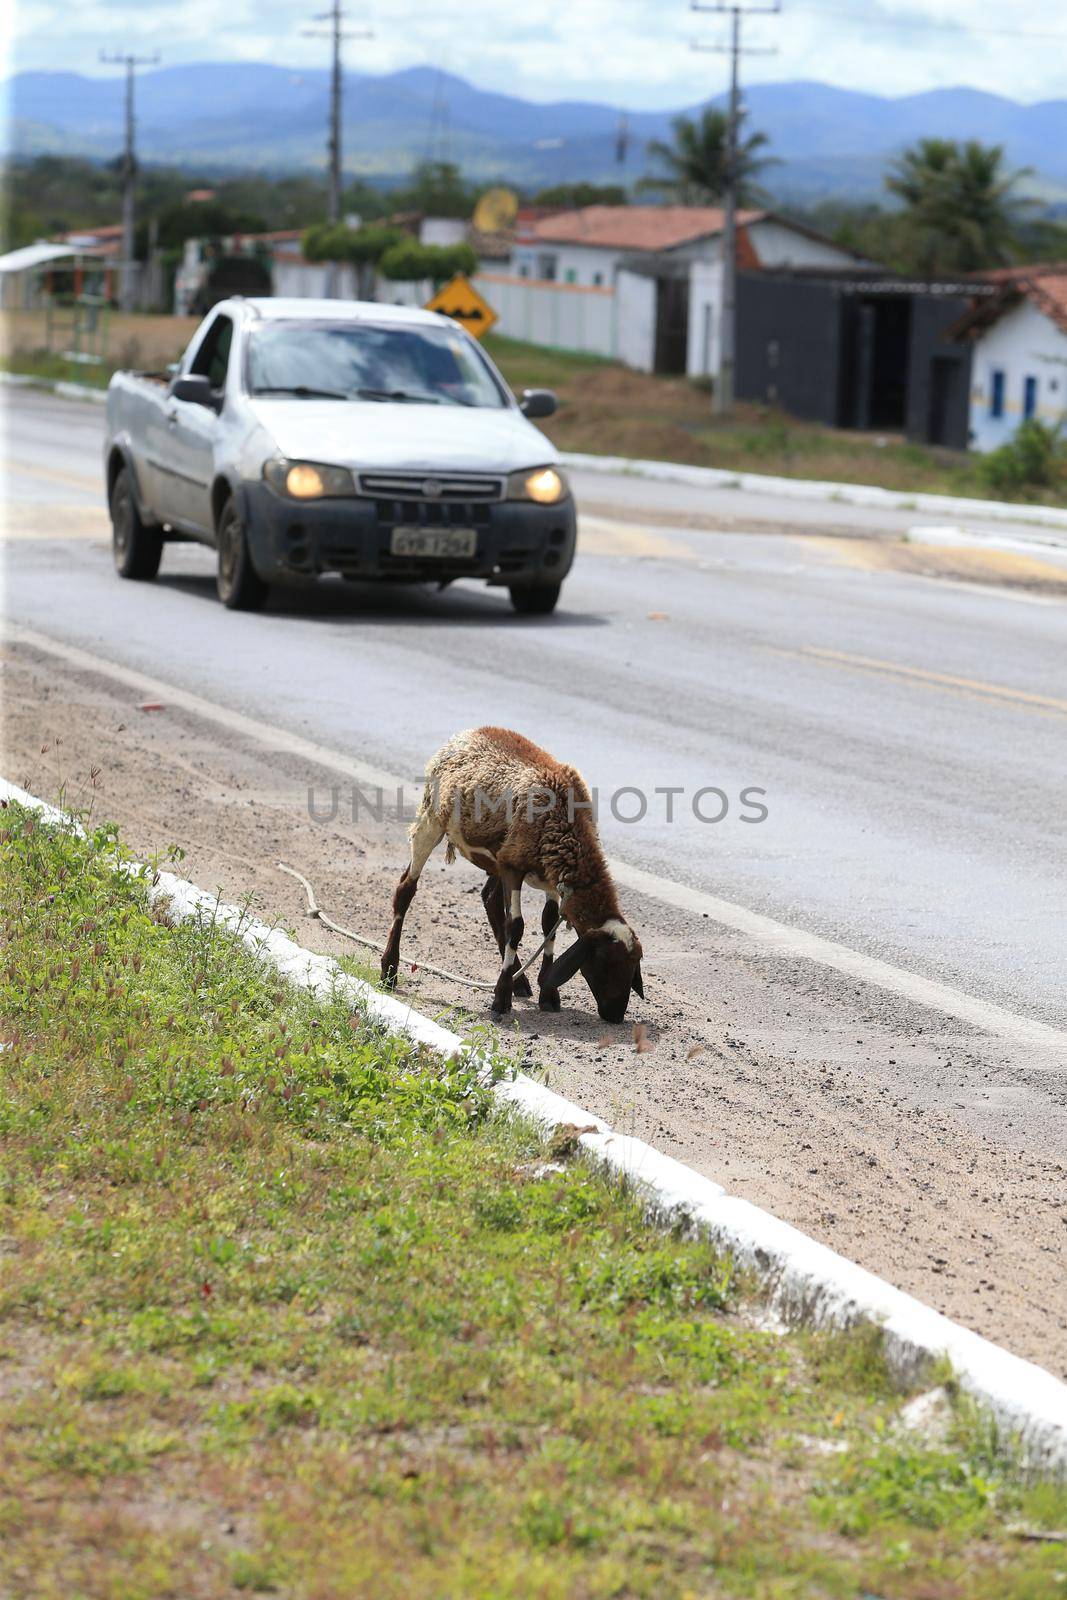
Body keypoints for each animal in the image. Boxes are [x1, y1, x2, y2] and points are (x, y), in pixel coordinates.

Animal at [388, 729, 646, 1017]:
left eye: (633, 965)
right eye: (605, 962)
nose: (615, 1016)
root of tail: (469, 732)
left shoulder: (549, 875)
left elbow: (548, 924)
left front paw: (548, 994)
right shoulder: (514, 868)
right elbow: (517, 926)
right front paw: (501, 998)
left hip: (496, 858)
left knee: (489, 899)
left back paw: (519, 982)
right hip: (431, 818)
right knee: (406, 889)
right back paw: (389, 971)